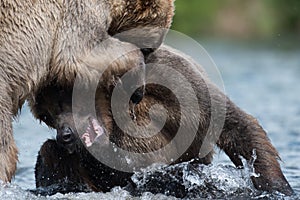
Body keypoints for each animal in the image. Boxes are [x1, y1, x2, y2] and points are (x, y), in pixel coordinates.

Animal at [32, 45, 292, 195]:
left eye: (65, 100)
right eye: (46, 116)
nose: (65, 134)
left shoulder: (183, 91)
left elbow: (237, 126)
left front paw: (277, 186)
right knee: (48, 152)